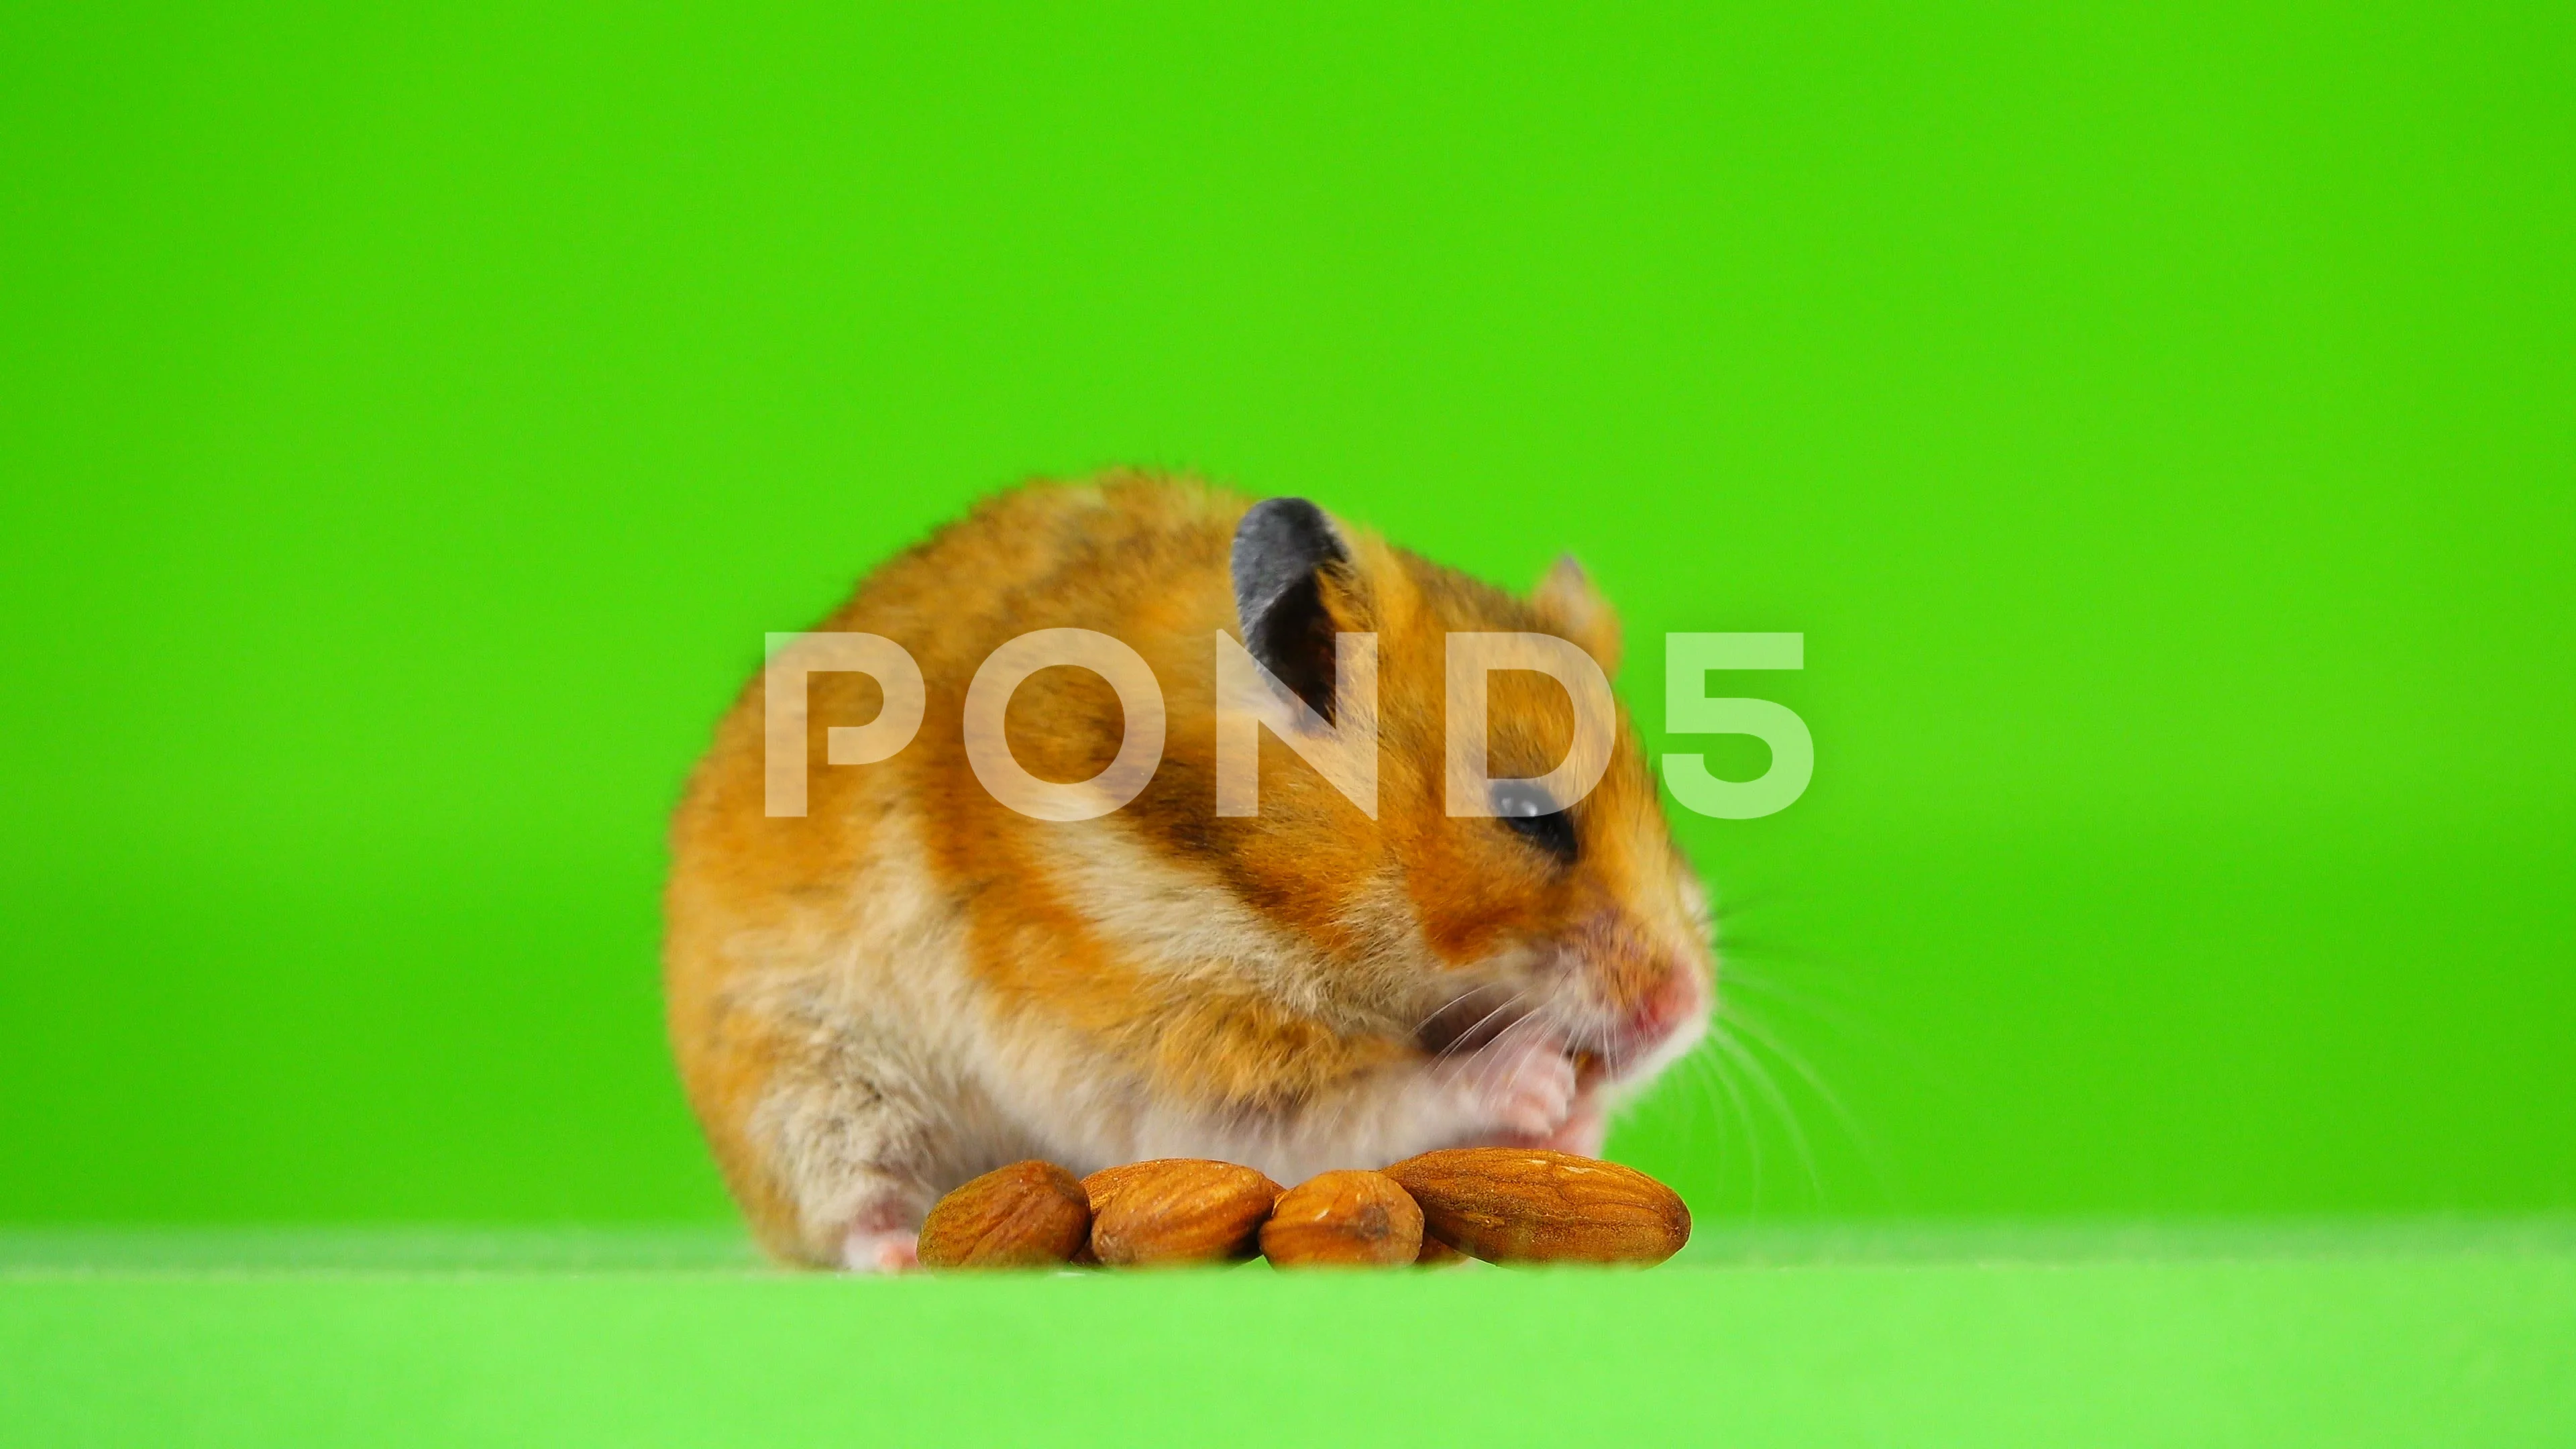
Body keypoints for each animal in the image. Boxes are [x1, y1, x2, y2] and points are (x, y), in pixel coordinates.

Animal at [663, 475, 1713, 1269]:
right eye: (1532, 817)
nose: (1687, 1014)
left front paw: (1578, 1125)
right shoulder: (1183, 1041)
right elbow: (1376, 1096)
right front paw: (1535, 1080)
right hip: (805, 1083)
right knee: (851, 1211)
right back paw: (908, 1256)